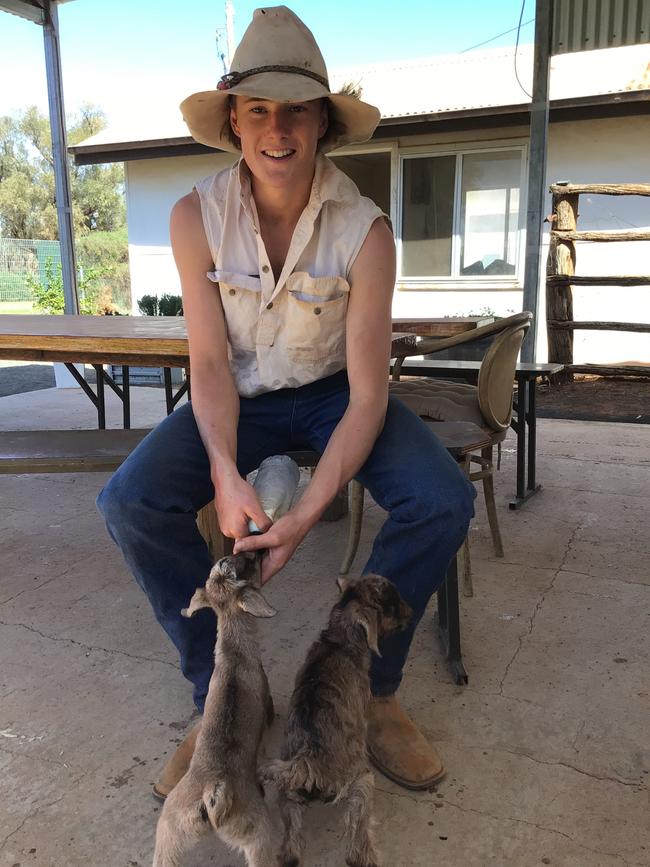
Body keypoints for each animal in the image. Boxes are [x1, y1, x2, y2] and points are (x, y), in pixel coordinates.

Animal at [155, 556, 280, 867]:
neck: (234, 655)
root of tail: (214, 793)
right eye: (249, 565)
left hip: (169, 829)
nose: (258, 553)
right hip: (259, 837)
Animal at [262, 576, 410, 867]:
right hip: (361, 782)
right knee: (356, 848)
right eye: (392, 605)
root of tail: (307, 762)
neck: (337, 640)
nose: (410, 611)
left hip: (287, 797)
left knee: (290, 849)